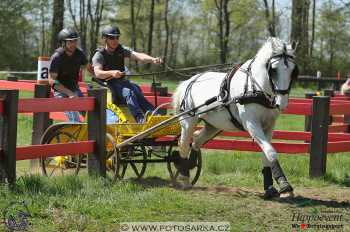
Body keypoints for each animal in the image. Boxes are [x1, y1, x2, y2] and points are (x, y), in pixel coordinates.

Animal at [172, 37, 298, 198]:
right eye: (273, 69)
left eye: (293, 70)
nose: (281, 103)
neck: (256, 88)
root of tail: (189, 81)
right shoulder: (251, 124)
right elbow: (271, 152)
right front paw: (285, 186)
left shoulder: (269, 126)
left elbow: (266, 154)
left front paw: (270, 187)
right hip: (188, 121)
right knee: (183, 144)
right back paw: (185, 178)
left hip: (213, 125)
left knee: (196, 141)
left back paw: (190, 165)